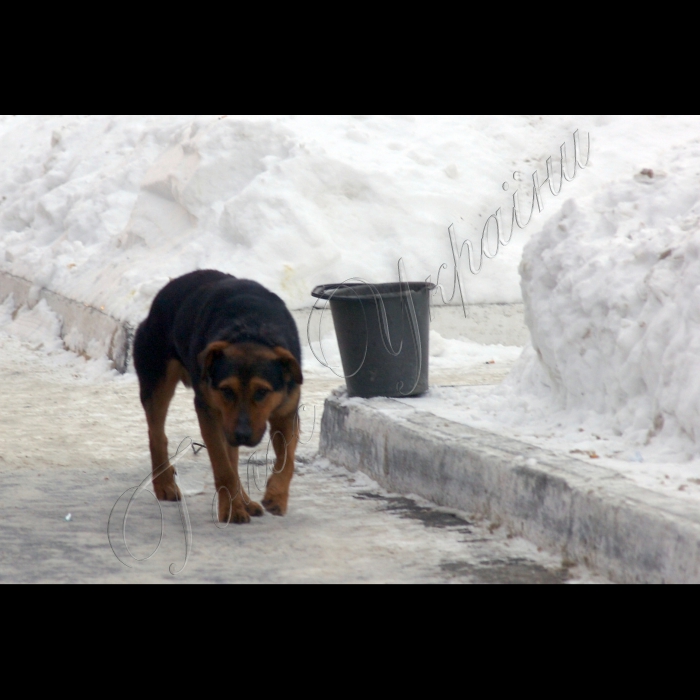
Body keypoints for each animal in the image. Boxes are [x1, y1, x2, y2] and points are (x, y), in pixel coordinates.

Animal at [133, 270, 302, 524]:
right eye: (227, 390)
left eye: (262, 392)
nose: (242, 434)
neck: (251, 330)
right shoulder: (209, 412)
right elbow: (223, 467)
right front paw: (231, 510)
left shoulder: (286, 412)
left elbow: (287, 460)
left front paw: (276, 496)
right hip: (157, 381)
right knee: (157, 436)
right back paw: (165, 484)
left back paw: (245, 501)